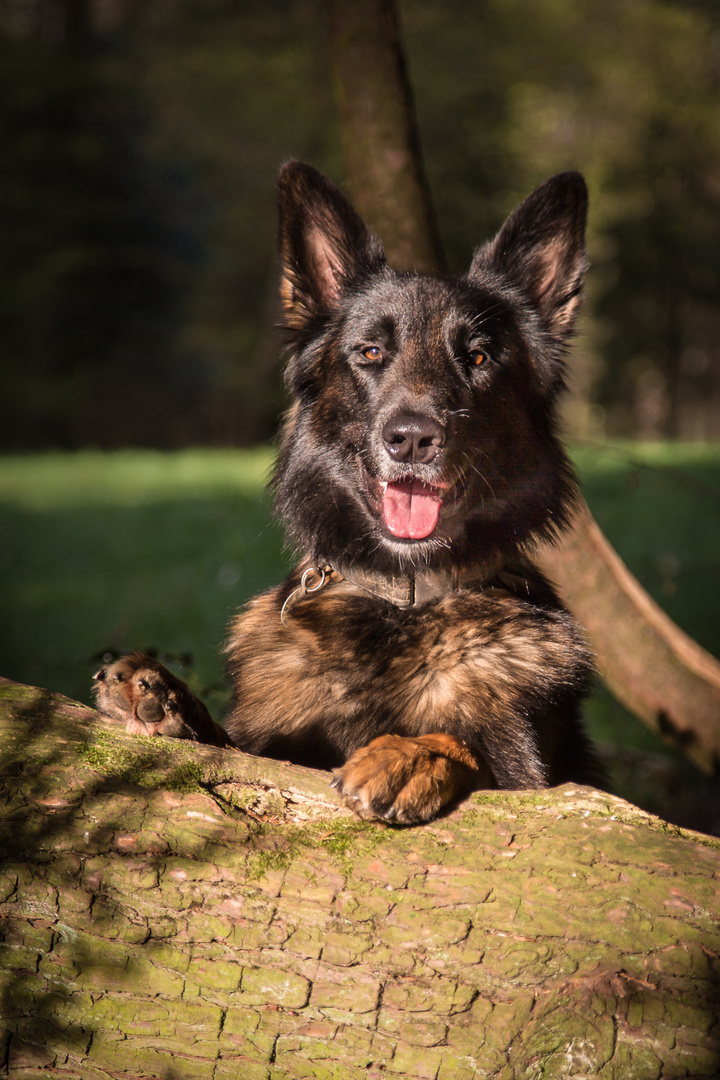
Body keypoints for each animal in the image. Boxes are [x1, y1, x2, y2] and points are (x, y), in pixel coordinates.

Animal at [94, 159, 604, 820]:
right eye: (370, 351)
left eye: (478, 358)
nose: (412, 438)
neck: (399, 604)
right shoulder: (269, 746)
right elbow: (236, 745)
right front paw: (170, 699)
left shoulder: (538, 783)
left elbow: (469, 746)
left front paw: (409, 754)